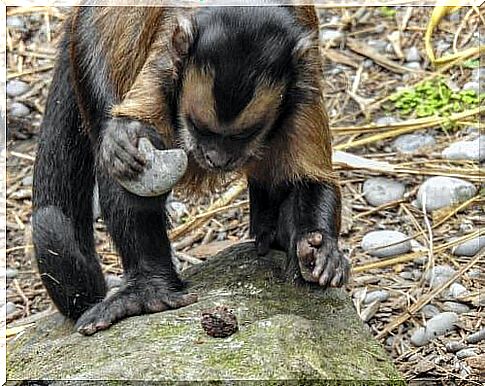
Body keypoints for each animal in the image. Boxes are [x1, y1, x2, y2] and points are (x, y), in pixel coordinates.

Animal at [31, 2, 348, 334]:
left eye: (245, 134)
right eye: (198, 126)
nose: (216, 158)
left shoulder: (303, 84)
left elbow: (308, 179)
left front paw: (318, 247)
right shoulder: (167, 62)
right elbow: (131, 149)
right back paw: (148, 289)